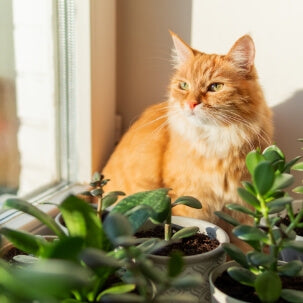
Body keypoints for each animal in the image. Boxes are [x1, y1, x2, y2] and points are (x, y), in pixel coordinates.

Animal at [103, 31, 274, 249]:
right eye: (184, 85)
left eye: (215, 87)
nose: (191, 104)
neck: (216, 141)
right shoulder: (193, 201)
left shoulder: (241, 207)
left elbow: (243, 247)